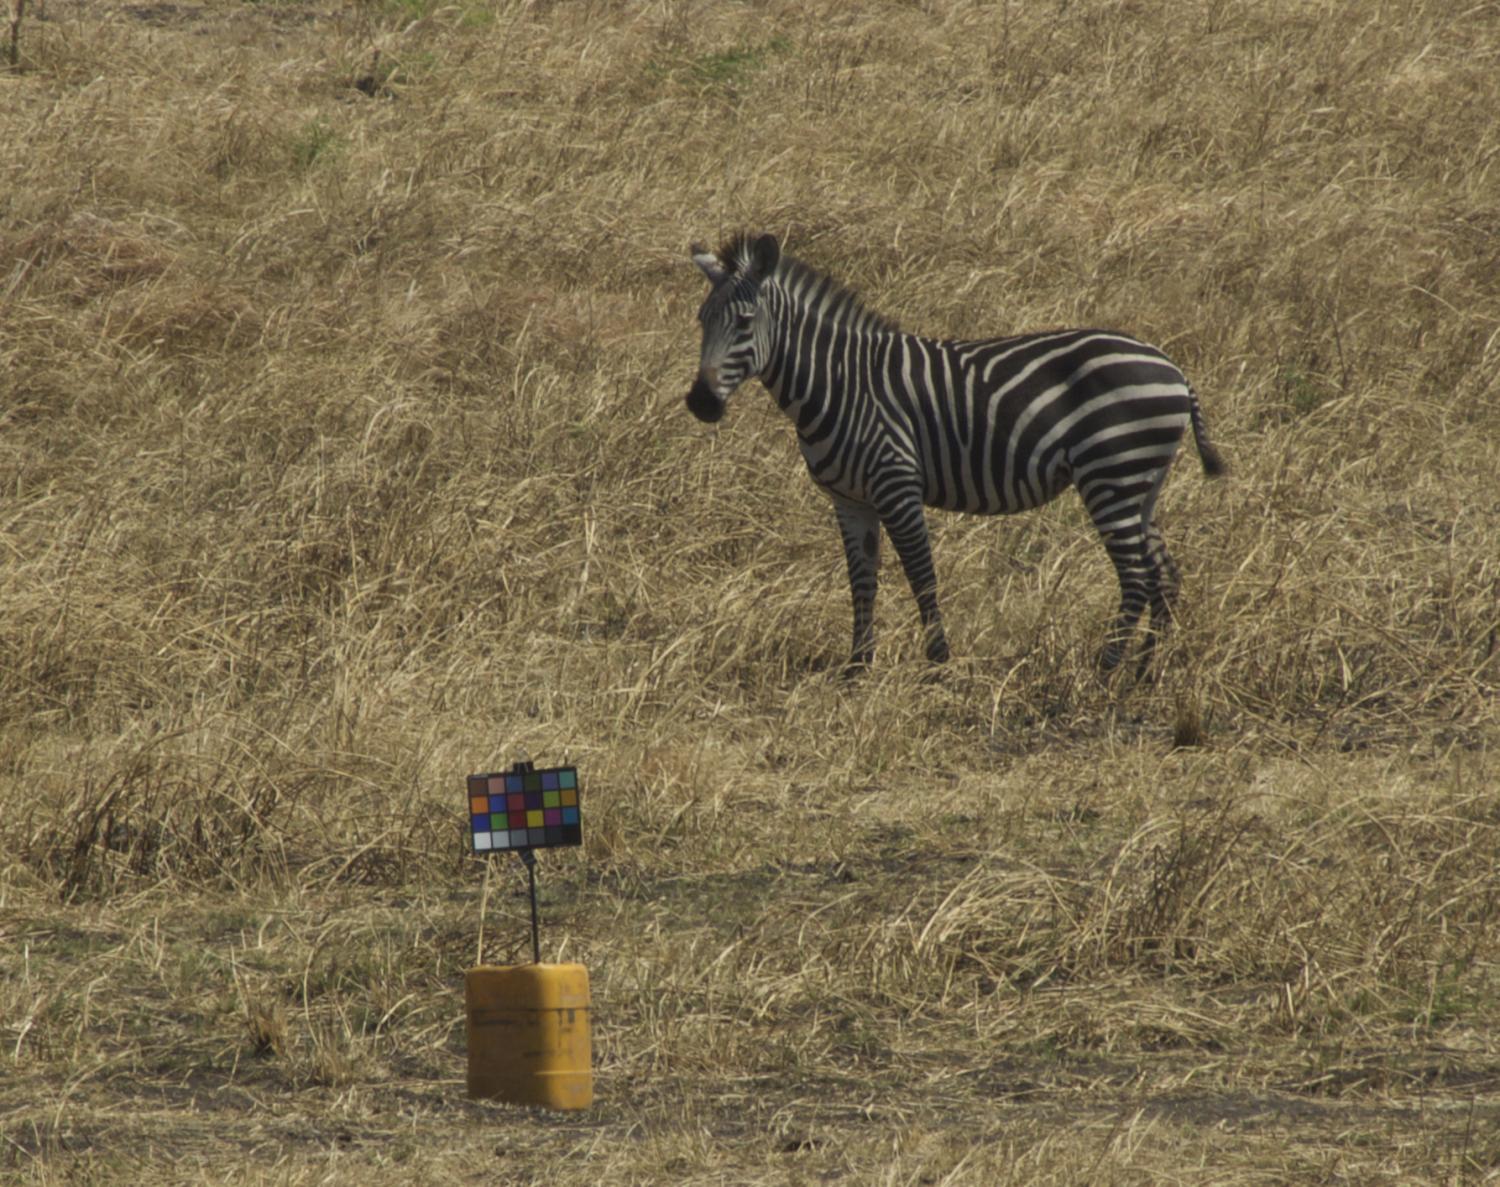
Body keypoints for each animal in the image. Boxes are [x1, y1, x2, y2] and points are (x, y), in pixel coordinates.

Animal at [687, 232, 1224, 678]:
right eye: (701, 320)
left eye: (744, 322)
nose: (700, 403)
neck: (837, 384)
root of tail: (1173, 369)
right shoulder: (850, 500)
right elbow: (861, 581)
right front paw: (857, 668)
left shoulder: (897, 484)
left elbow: (922, 576)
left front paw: (937, 665)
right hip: (1140, 484)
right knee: (1163, 575)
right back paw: (1144, 673)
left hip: (1111, 475)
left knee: (1135, 578)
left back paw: (1103, 672)